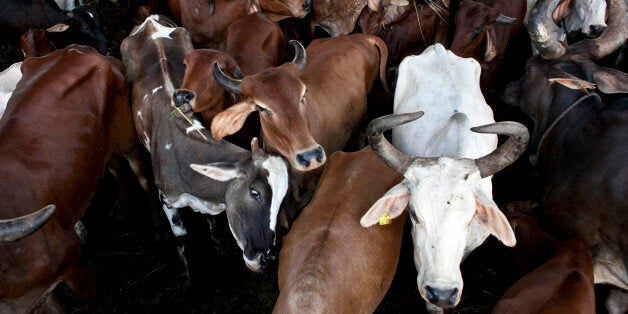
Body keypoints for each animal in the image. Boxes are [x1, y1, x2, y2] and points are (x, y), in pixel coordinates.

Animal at [0, 44, 147, 312]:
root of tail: (77, 50)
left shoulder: (71, 259)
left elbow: (88, 300)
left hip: (125, 133)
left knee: (140, 171)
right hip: (99, 144)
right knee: (111, 164)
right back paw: (120, 205)